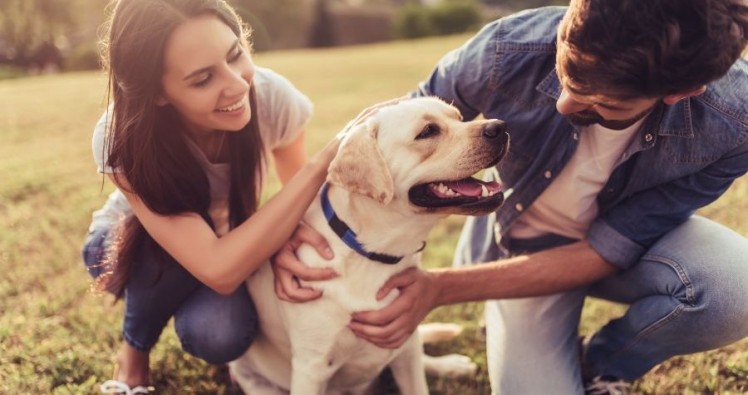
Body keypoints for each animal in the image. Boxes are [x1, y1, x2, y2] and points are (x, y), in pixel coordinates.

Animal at [228, 96, 508, 395]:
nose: (500, 127)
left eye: (458, 117)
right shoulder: (310, 366)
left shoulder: (405, 340)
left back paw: (451, 365)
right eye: (428, 131)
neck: (373, 254)